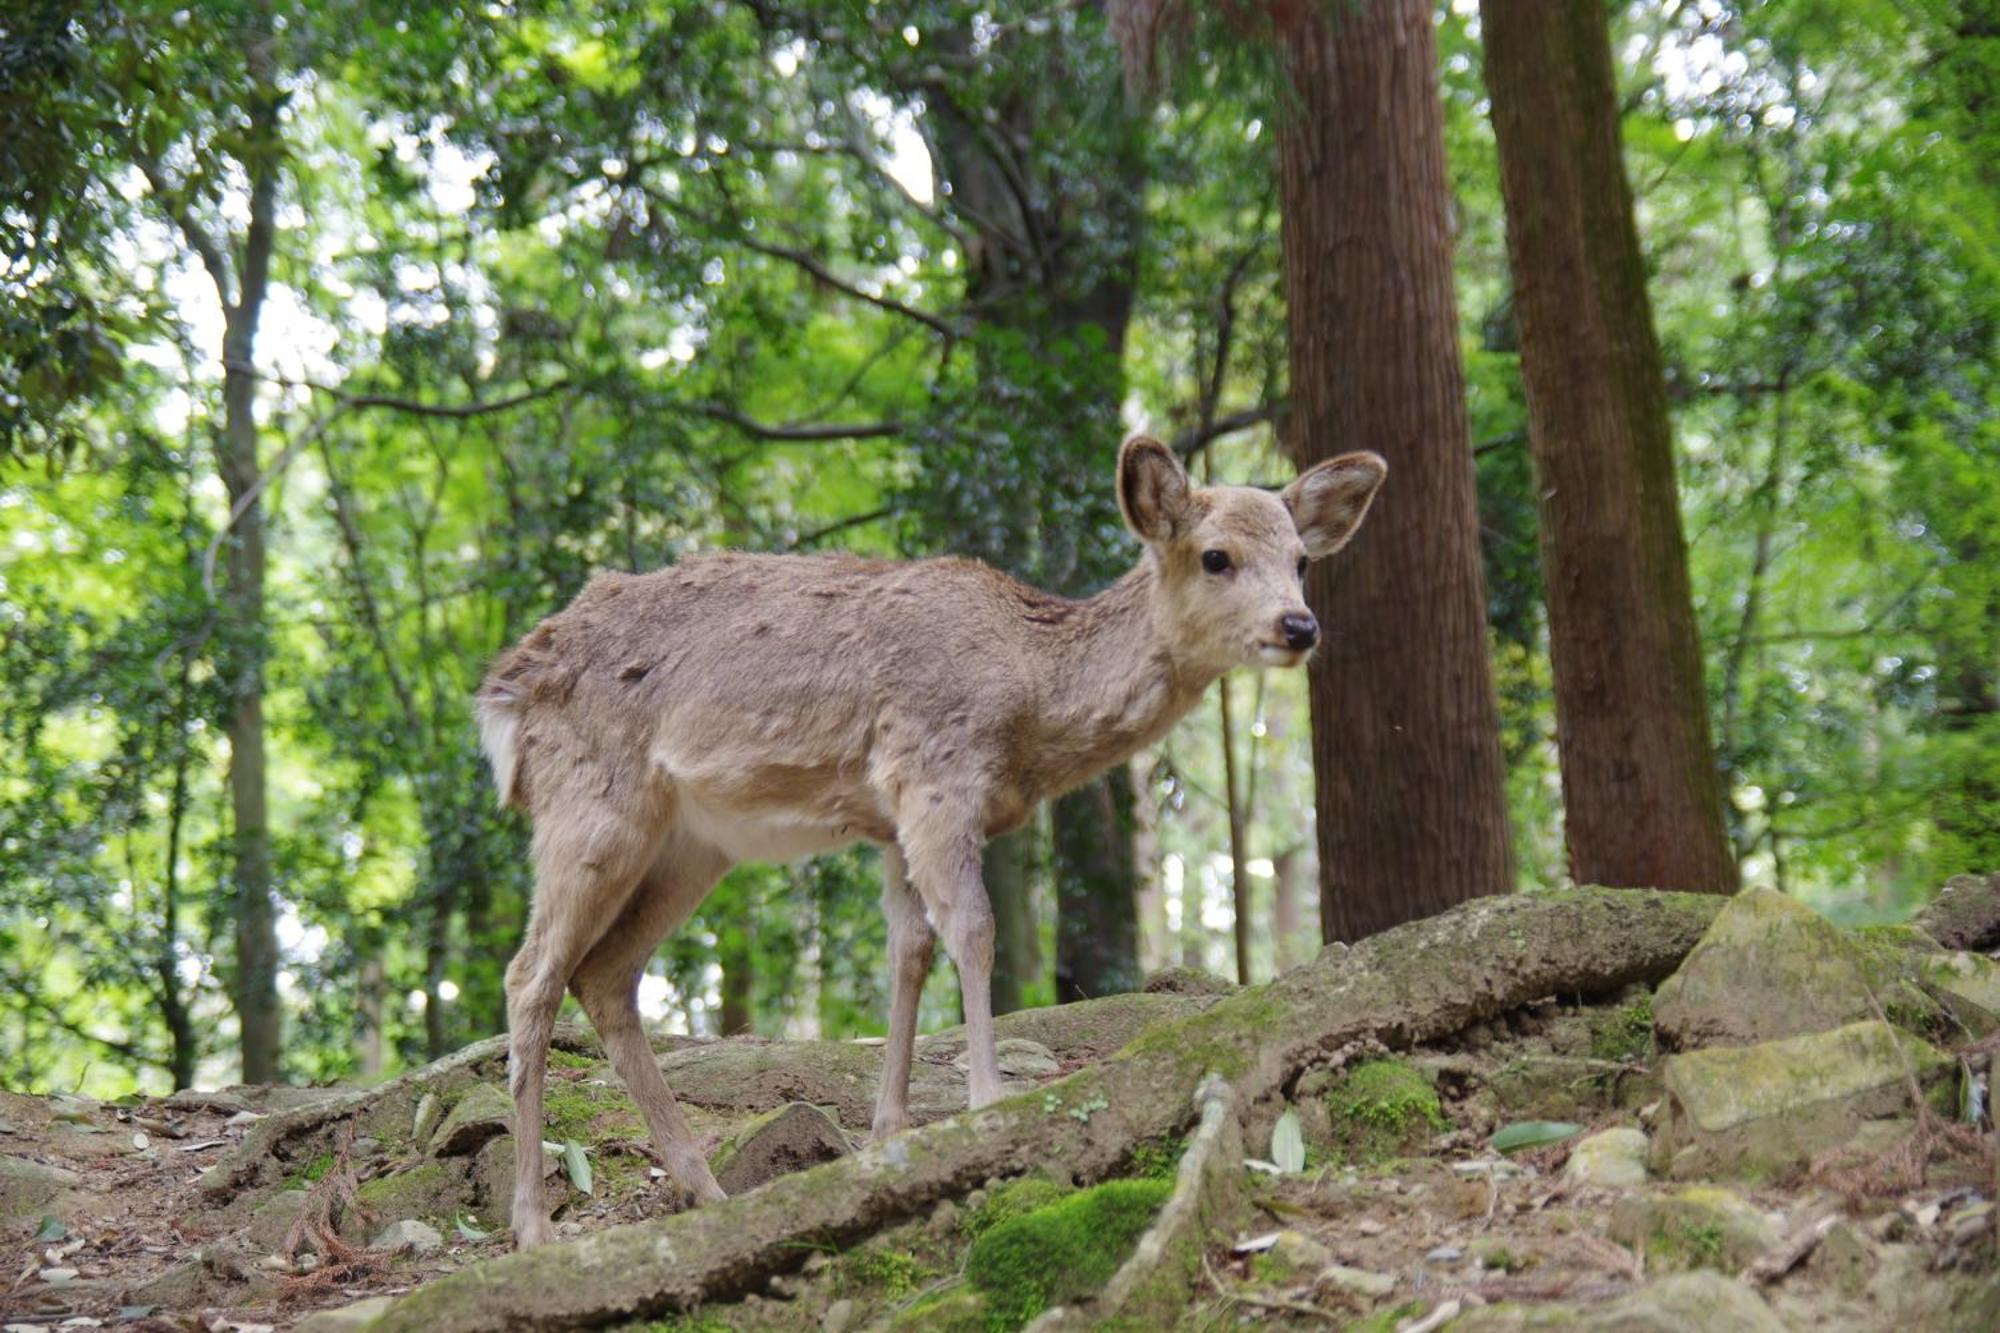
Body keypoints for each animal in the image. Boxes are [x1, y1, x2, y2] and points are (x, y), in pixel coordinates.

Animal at [480, 436, 1392, 1248]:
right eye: (1215, 556)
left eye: (1300, 559)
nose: (1299, 625)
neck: (1031, 699)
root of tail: (502, 694)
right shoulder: (935, 771)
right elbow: (975, 930)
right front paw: (987, 1101)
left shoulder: (891, 817)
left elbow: (909, 950)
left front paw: (888, 1129)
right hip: (591, 803)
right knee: (531, 973)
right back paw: (533, 1225)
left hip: (692, 842)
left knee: (605, 975)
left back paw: (706, 1189)